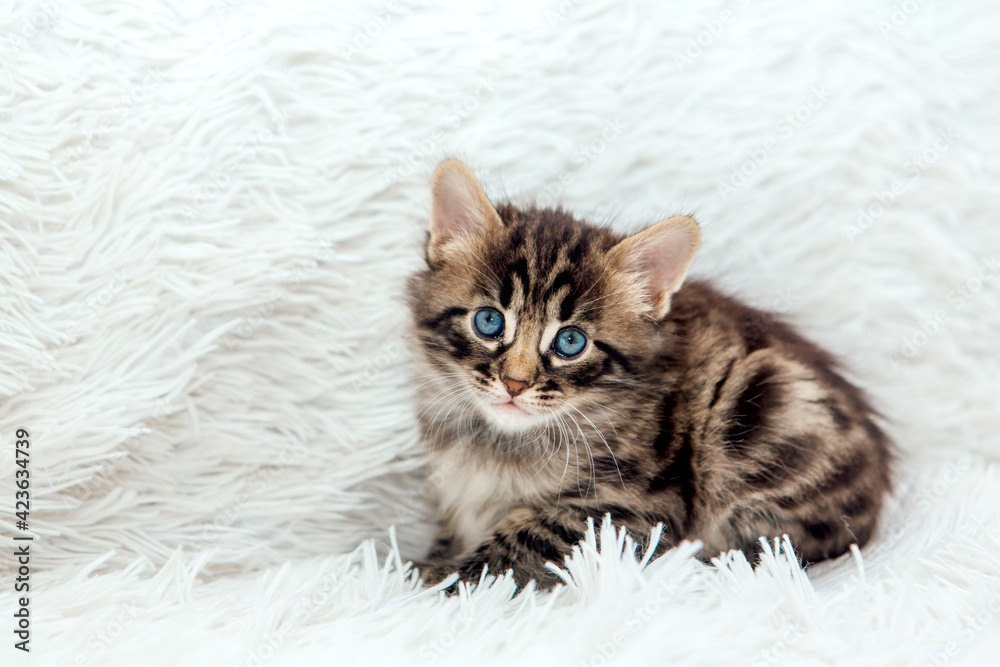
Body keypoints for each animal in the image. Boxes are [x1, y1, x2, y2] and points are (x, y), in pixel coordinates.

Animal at [406, 159, 892, 592]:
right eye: (489, 322)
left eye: (570, 342)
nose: (515, 383)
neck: (496, 441)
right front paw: (428, 560)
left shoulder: (630, 511)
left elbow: (518, 544)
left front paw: (436, 578)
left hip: (764, 410)